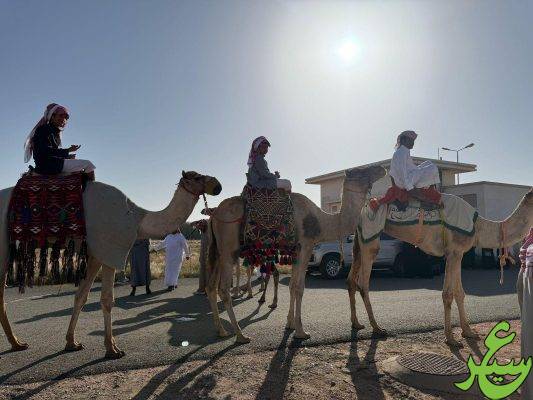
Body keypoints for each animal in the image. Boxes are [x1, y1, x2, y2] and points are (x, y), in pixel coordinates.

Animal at [0, 170, 221, 358]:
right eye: (197, 177)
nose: (217, 185)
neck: (136, 218)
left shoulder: (96, 256)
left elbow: (81, 297)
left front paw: (71, 342)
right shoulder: (110, 250)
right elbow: (107, 299)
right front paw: (112, 349)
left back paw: (17, 343)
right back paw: (16, 343)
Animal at [205, 166, 386, 343]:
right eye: (360, 171)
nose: (381, 169)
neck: (322, 223)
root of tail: (213, 216)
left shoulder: (296, 252)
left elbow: (292, 286)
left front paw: (290, 324)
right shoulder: (305, 246)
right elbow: (299, 287)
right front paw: (301, 332)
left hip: (217, 251)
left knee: (211, 286)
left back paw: (221, 331)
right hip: (229, 249)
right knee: (223, 289)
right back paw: (241, 335)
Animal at [347, 188, 533, 347]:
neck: (479, 227)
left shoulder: (458, 253)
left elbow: (460, 293)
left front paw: (468, 332)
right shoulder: (453, 252)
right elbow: (448, 294)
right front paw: (451, 339)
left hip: (359, 241)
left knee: (351, 280)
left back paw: (356, 324)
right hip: (371, 237)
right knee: (363, 283)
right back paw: (377, 328)